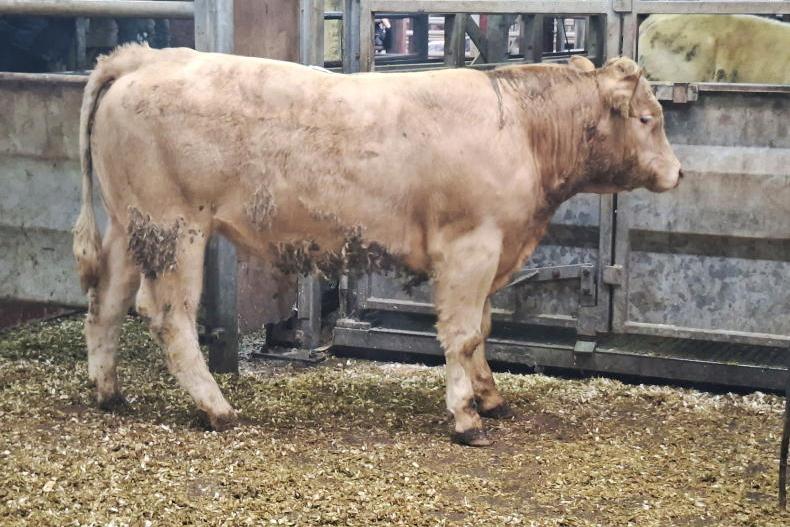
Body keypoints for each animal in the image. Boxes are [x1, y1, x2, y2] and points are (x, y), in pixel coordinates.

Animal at [73, 45, 682, 446]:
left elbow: (483, 329)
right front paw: (466, 417)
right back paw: (216, 408)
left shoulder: (496, 250)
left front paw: (490, 397)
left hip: (130, 225)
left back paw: (109, 393)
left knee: (105, 303)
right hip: (174, 227)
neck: (522, 128)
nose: (678, 173)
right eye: (647, 117)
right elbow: (462, 334)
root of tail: (146, 57)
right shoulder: (471, 246)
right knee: (168, 314)